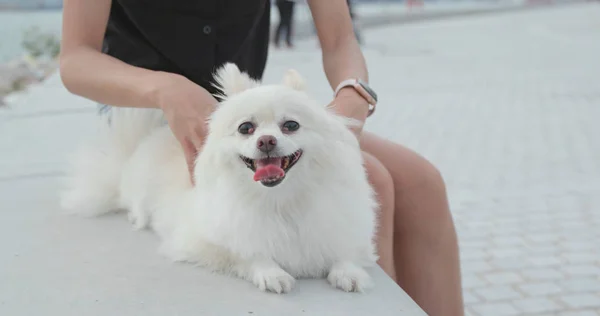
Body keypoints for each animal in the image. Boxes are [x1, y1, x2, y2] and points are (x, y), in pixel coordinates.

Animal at [61, 63, 380, 294]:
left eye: (291, 125)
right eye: (246, 128)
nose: (266, 140)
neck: (279, 200)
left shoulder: (341, 223)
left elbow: (346, 247)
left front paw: (348, 271)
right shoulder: (204, 240)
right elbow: (247, 252)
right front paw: (271, 272)